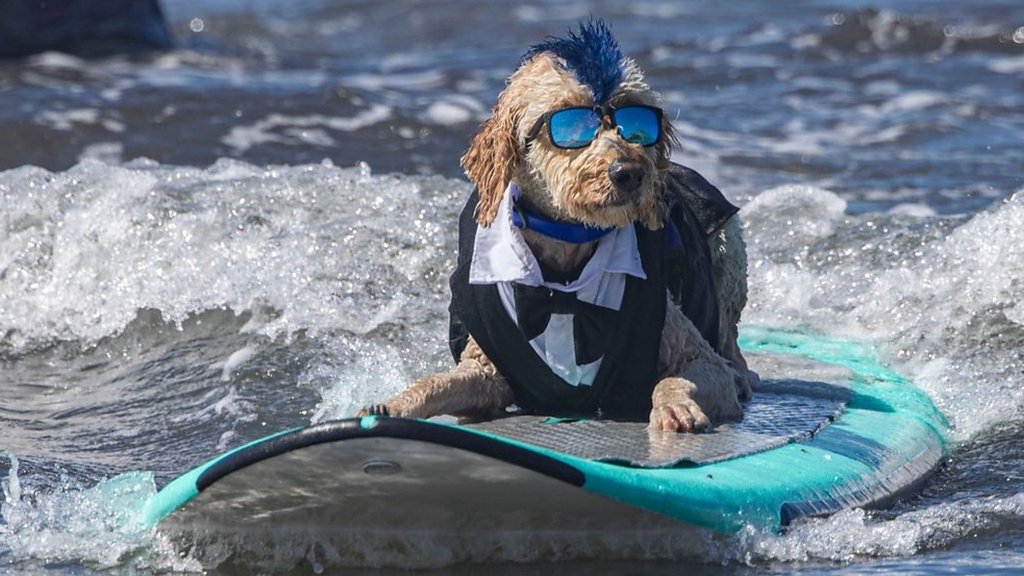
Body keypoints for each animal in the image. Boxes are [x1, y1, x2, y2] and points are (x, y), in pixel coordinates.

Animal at [358, 19, 753, 430]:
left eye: (635, 122)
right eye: (572, 122)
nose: (630, 172)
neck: (567, 256)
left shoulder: (693, 352)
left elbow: (679, 376)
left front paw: (675, 405)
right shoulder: (487, 367)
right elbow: (438, 382)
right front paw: (392, 405)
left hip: (729, 249)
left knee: (730, 340)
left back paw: (741, 373)